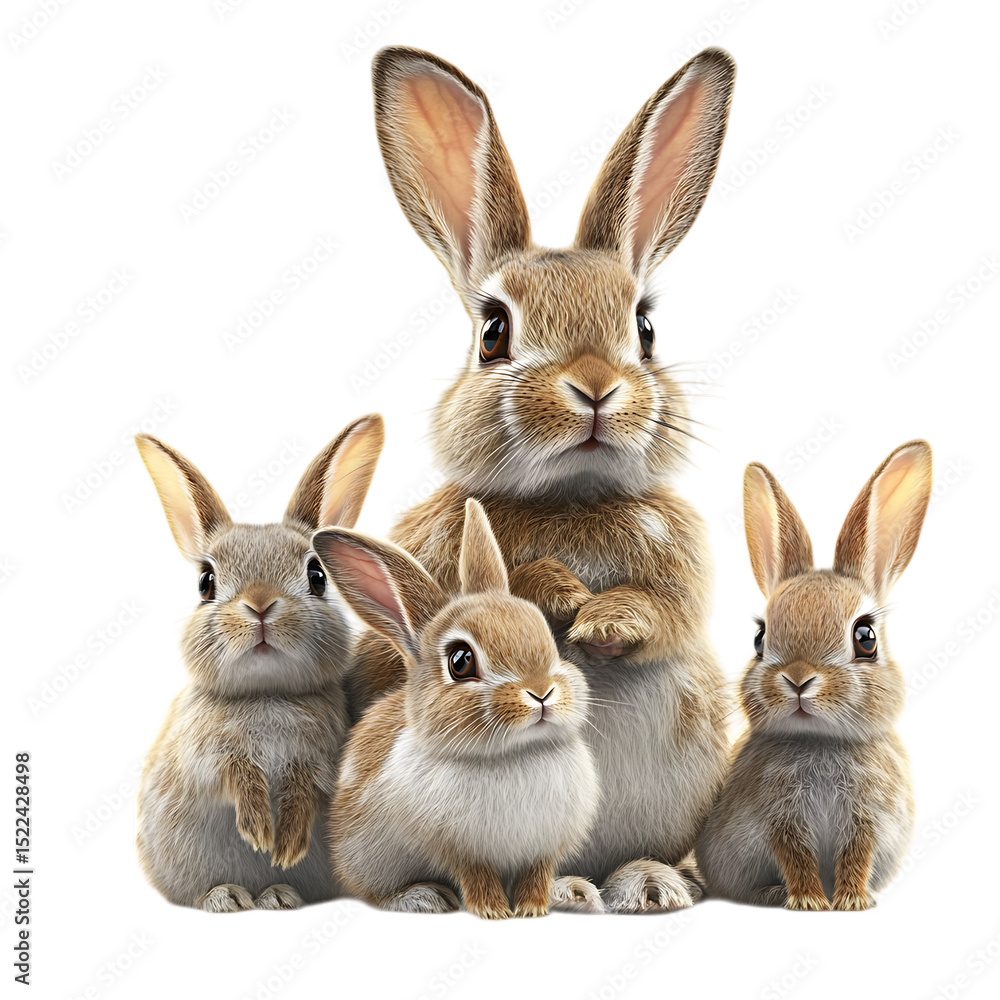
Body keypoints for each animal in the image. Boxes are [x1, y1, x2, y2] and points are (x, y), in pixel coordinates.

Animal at [134, 415, 384, 911]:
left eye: (317, 575)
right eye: (206, 581)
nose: (261, 605)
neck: (267, 693)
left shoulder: (319, 762)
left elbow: (304, 790)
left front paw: (284, 846)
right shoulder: (209, 757)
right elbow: (238, 779)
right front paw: (259, 834)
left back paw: (279, 895)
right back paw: (228, 898)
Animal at [313, 499, 599, 919]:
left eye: (546, 635)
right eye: (460, 661)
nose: (541, 693)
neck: (512, 755)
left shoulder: (544, 848)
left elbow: (536, 874)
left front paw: (533, 909)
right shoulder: (458, 848)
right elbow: (476, 875)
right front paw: (493, 911)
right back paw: (421, 898)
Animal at [347, 45, 737, 912]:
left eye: (644, 328)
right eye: (493, 331)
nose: (595, 387)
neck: (572, 499)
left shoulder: (685, 569)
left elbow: (665, 613)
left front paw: (607, 620)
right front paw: (560, 592)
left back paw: (645, 883)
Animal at [696, 441, 932, 910]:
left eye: (866, 637)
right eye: (759, 639)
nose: (799, 679)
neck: (820, 741)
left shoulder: (867, 821)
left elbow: (856, 856)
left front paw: (852, 901)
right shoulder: (779, 820)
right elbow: (796, 858)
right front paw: (808, 901)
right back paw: (771, 893)